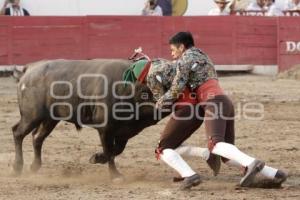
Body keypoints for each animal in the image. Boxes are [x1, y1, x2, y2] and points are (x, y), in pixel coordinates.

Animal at [12, 58, 169, 179]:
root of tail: (30, 68)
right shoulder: (105, 129)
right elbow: (109, 151)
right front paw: (115, 175)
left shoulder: (123, 132)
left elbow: (116, 150)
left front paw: (96, 158)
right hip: (32, 116)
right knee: (18, 133)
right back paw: (17, 167)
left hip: (50, 119)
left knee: (37, 138)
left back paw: (34, 166)